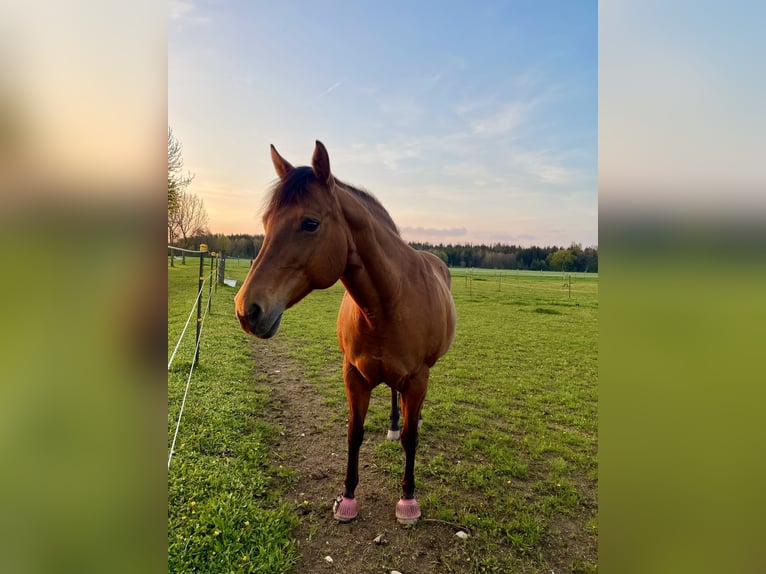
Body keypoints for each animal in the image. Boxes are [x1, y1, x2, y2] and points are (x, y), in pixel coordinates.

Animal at [234, 141, 456, 525]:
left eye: (310, 223)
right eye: (266, 222)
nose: (247, 310)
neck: (387, 303)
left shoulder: (417, 378)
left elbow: (410, 440)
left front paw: (408, 499)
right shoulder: (353, 374)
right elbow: (354, 433)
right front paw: (348, 498)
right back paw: (393, 423)